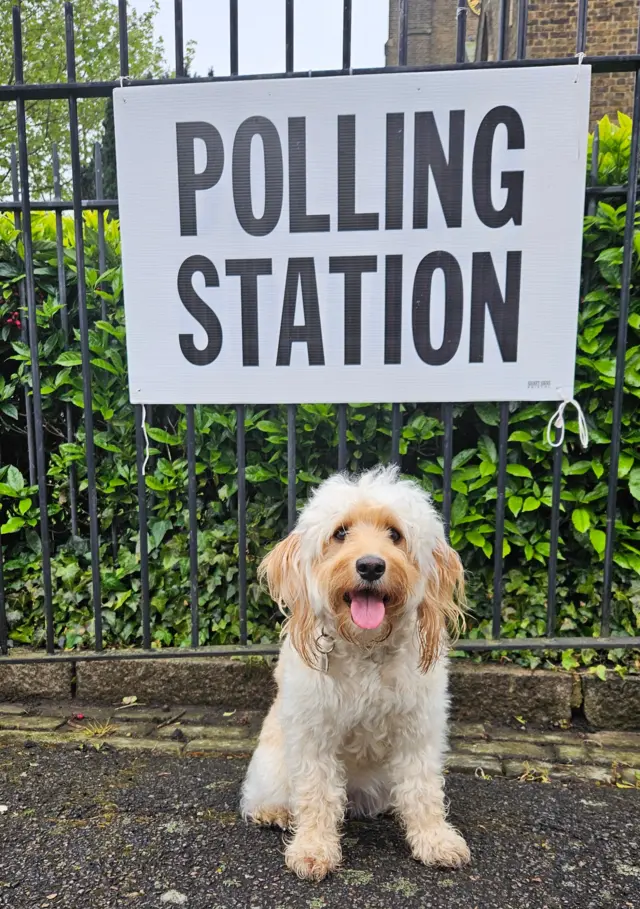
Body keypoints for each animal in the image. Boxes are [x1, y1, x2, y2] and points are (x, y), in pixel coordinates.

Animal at [241, 464, 470, 876]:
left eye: (395, 534)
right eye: (340, 533)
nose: (371, 565)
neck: (366, 647)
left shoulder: (418, 730)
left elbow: (423, 788)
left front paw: (435, 839)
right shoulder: (313, 733)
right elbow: (316, 792)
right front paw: (313, 848)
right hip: (272, 765)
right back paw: (275, 811)